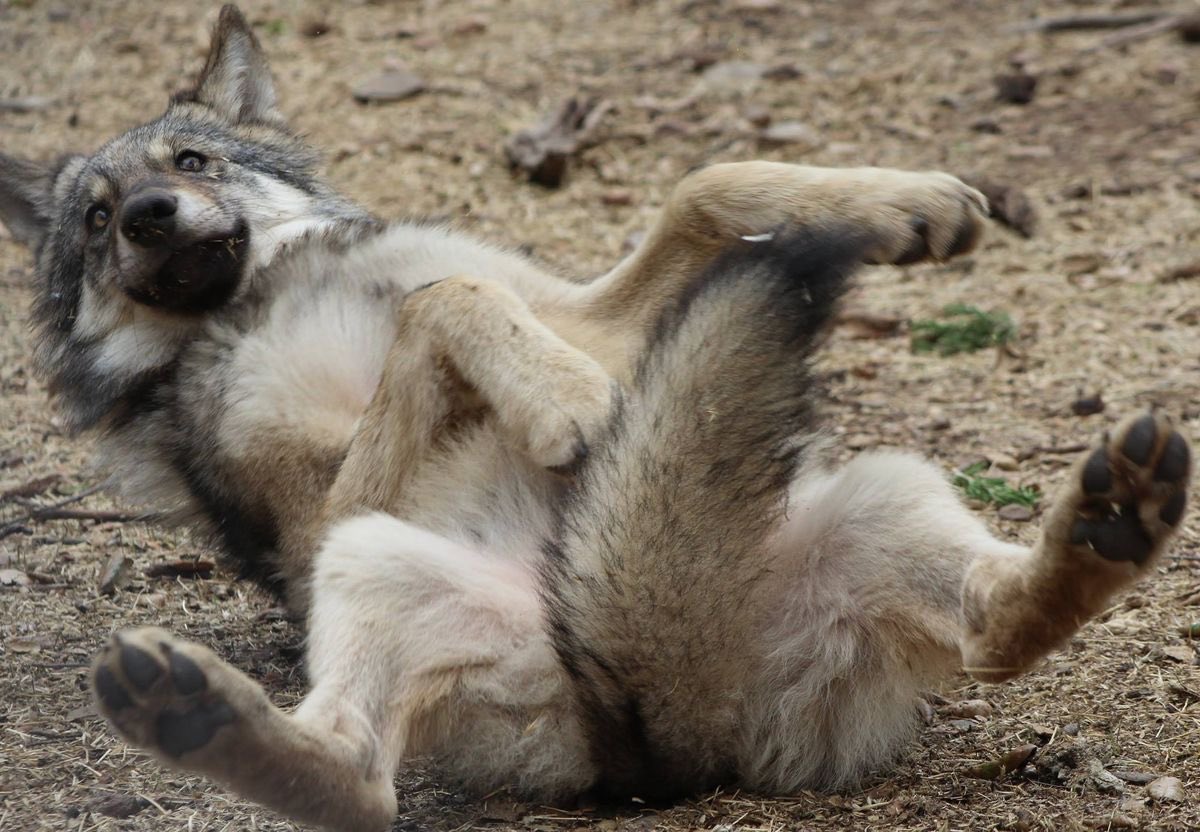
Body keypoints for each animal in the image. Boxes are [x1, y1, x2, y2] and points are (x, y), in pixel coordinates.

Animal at [0, 6, 1191, 831]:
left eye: (190, 162)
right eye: (98, 221)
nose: (151, 218)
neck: (271, 282)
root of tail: (669, 725)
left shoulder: (597, 316)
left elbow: (699, 186)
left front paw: (910, 205)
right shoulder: (324, 508)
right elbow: (448, 300)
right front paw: (569, 405)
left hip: (885, 490)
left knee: (996, 628)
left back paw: (1112, 519)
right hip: (363, 555)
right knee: (359, 790)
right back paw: (198, 717)